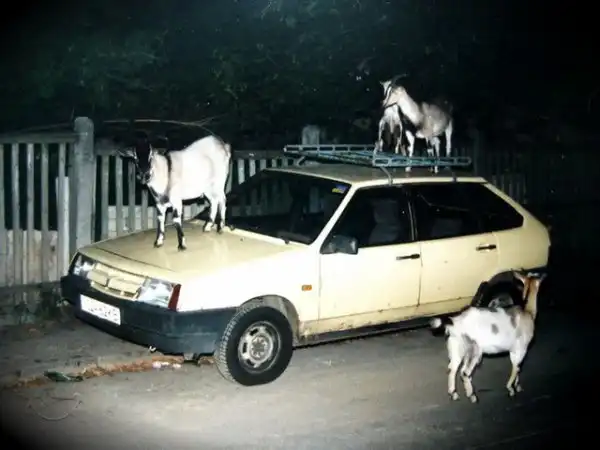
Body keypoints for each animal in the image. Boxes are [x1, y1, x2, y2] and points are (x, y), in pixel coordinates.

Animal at [430, 271, 546, 403]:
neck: (528, 313)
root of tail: (455, 322)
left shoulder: (514, 350)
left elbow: (517, 367)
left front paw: (517, 386)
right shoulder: (521, 348)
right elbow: (516, 367)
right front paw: (511, 389)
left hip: (457, 347)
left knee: (452, 368)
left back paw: (454, 393)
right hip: (473, 349)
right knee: (464, 372)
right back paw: (472, 395)